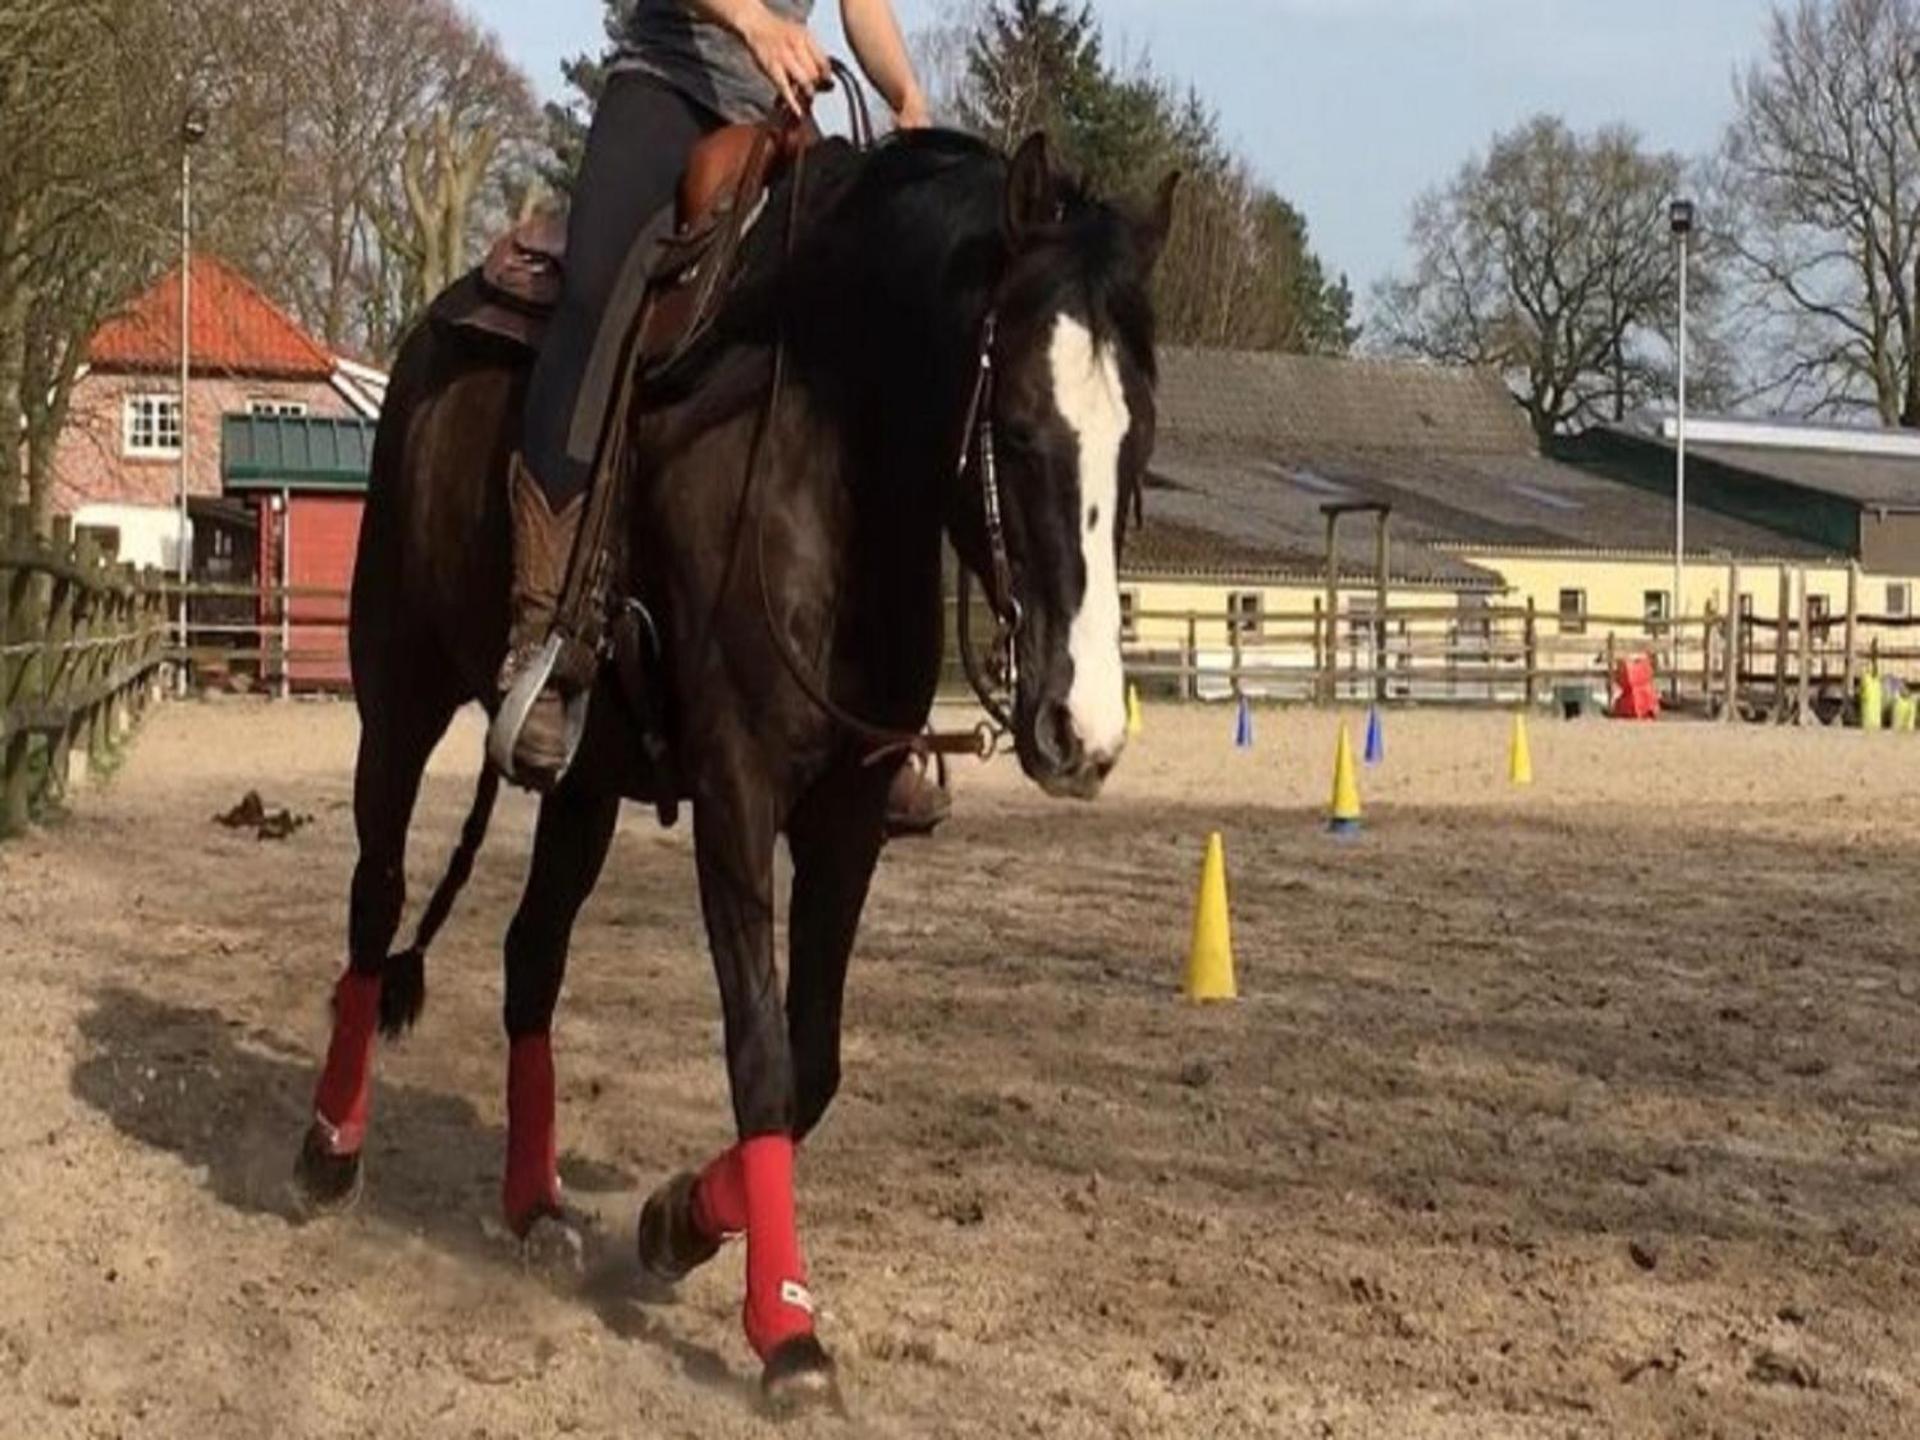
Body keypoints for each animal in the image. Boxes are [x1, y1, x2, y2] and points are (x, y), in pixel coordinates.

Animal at [291, 126, 1174, 1412]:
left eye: (1138, 439)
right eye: (1015, 431)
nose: (1085, 729)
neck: (829, 459)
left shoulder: (847, 818)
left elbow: (814, 1065)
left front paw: (674, 1224)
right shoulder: (737, 797)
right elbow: (760, 1054)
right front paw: (786, 1327)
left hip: (585, 784)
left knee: (531, 956)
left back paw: (534, 1205)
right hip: (397, 698)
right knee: (376, 904)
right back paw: (329, 1151)